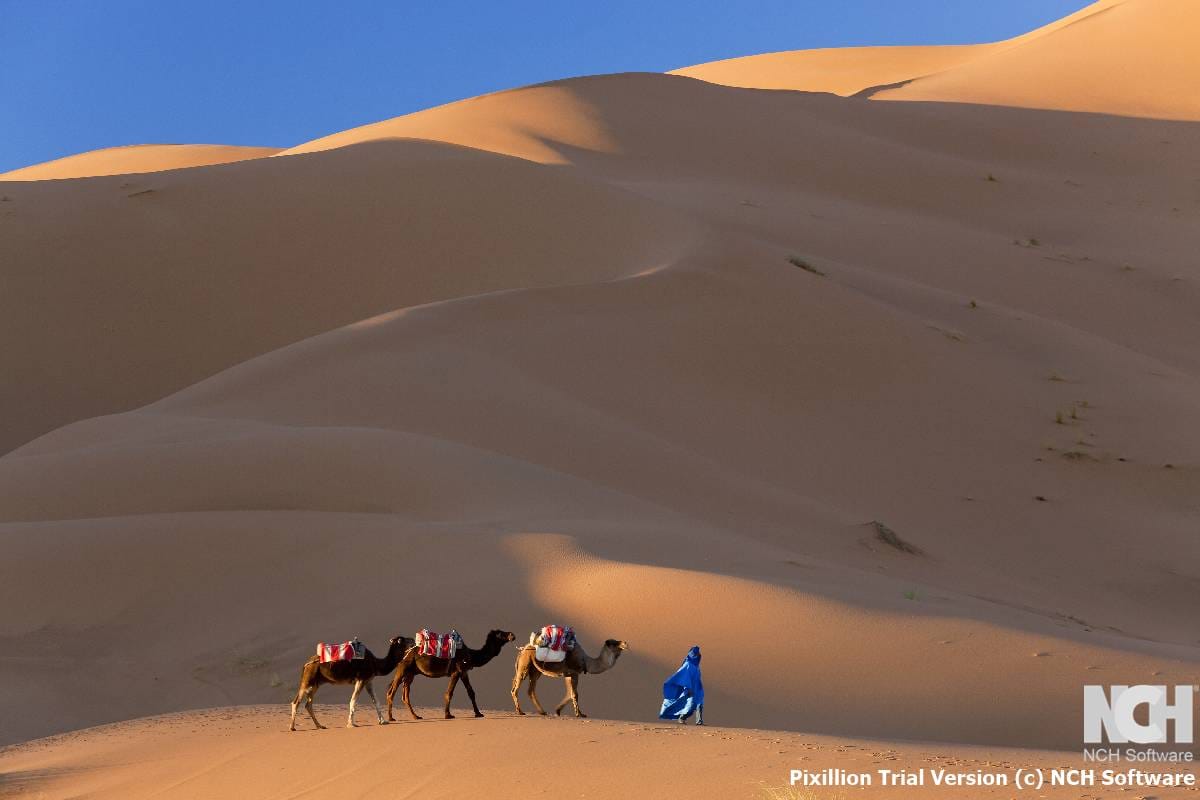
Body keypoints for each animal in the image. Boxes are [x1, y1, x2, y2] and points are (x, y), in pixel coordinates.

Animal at [386, 629, 516, 721]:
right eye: (500, 634)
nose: (512, 635)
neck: (471, 655)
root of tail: (405, 651)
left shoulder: (464, 672)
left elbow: (471, 692)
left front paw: (478, 713)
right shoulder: (457, 671)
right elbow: (449, 693)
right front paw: (448, 715)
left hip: (410, 673)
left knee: (405, 695)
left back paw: (416, 716)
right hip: (403, 668)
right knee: (391, 691)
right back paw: (391, 718)